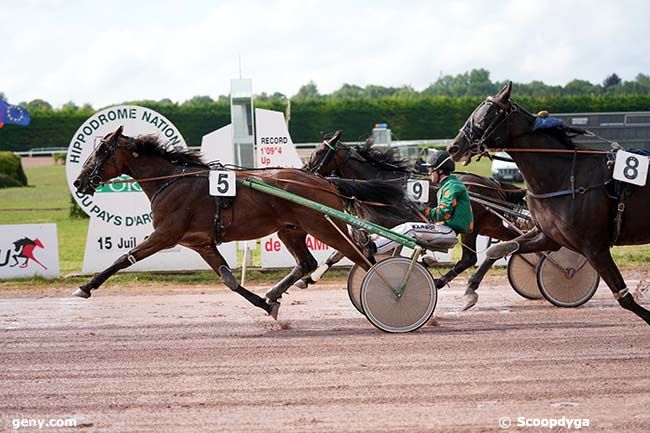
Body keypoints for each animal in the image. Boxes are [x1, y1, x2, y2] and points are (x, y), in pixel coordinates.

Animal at [71, 125, 412, 318]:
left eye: (102, 151)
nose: (78, 182)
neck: (172, 181)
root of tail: (324, 181)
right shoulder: (202, 243)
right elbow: (229, 280)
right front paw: (266, 305)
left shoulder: (166, 234)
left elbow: (123, 258)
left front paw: (85, 287)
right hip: (291, 229)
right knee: (309, 263)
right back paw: (276, 292)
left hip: (323, 225)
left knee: (361, 256)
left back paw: (393, 292)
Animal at [304, 133, 528, 290]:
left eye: (318, 153)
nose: (306, 170)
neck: (380, 187)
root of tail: (492, 183)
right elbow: (339, 252)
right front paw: (309, 278)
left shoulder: (386, 226)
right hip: (490, 225)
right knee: (511, 243)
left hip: (472, 227)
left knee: (470, 258)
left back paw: (443, 282)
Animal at [446, 82, 648, 324]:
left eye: (486, 116)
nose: (454, 147)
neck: (566, 176)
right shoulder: (549, 237)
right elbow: (499, 249)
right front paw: (469, 291)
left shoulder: (595, 248)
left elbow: (624, 298)